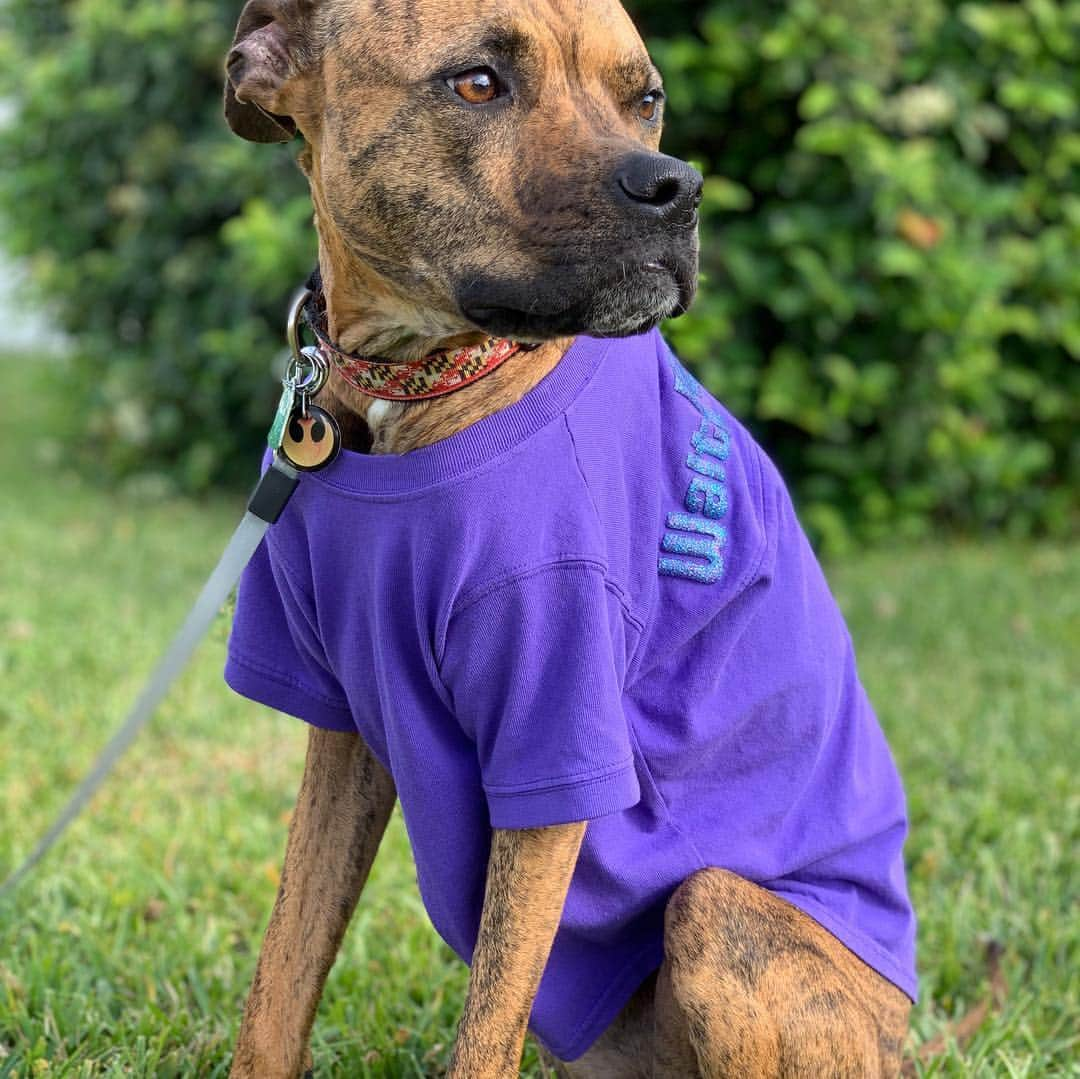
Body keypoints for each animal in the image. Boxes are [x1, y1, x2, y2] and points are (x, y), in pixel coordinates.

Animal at [223, 4, 915, 1075]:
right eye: (475, 83)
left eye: (647, 98)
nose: (677, 187)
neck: (425, 386)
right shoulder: (339, 724)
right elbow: (283, 975)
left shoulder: (553, 740)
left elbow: (487, 1023)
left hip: (720, 919)